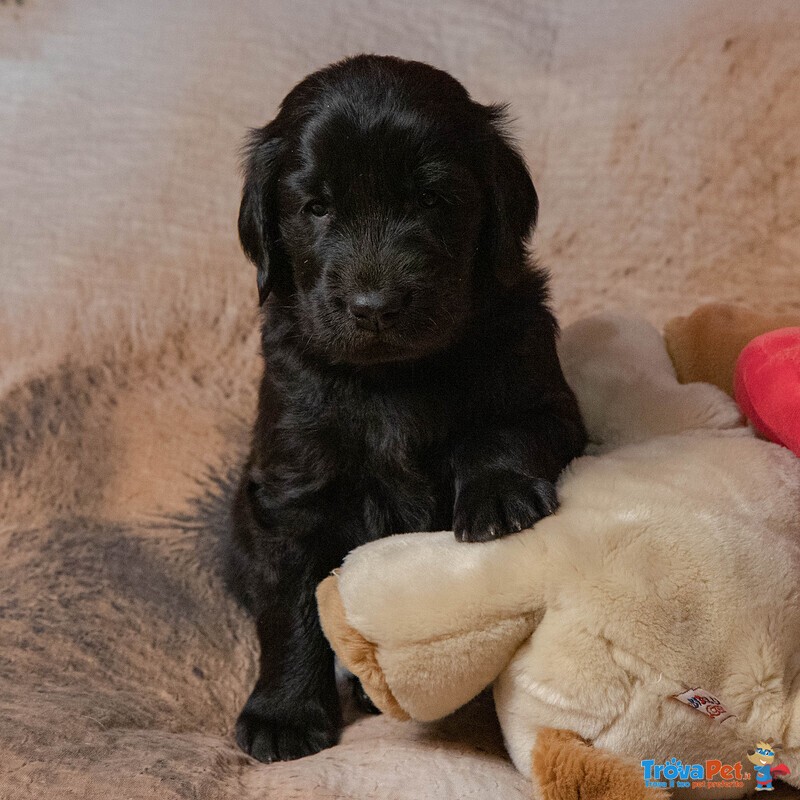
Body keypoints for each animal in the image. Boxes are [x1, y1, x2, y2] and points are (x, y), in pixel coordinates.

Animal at [228, 54, 584, 764]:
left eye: (430, 199)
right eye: (316, 208)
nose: (375, 307)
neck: (395, 377)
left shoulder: (548, 399)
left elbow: (502, 430)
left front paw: (496, 498)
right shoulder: (291, 480)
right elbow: (288, 600)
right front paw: (282, 714)